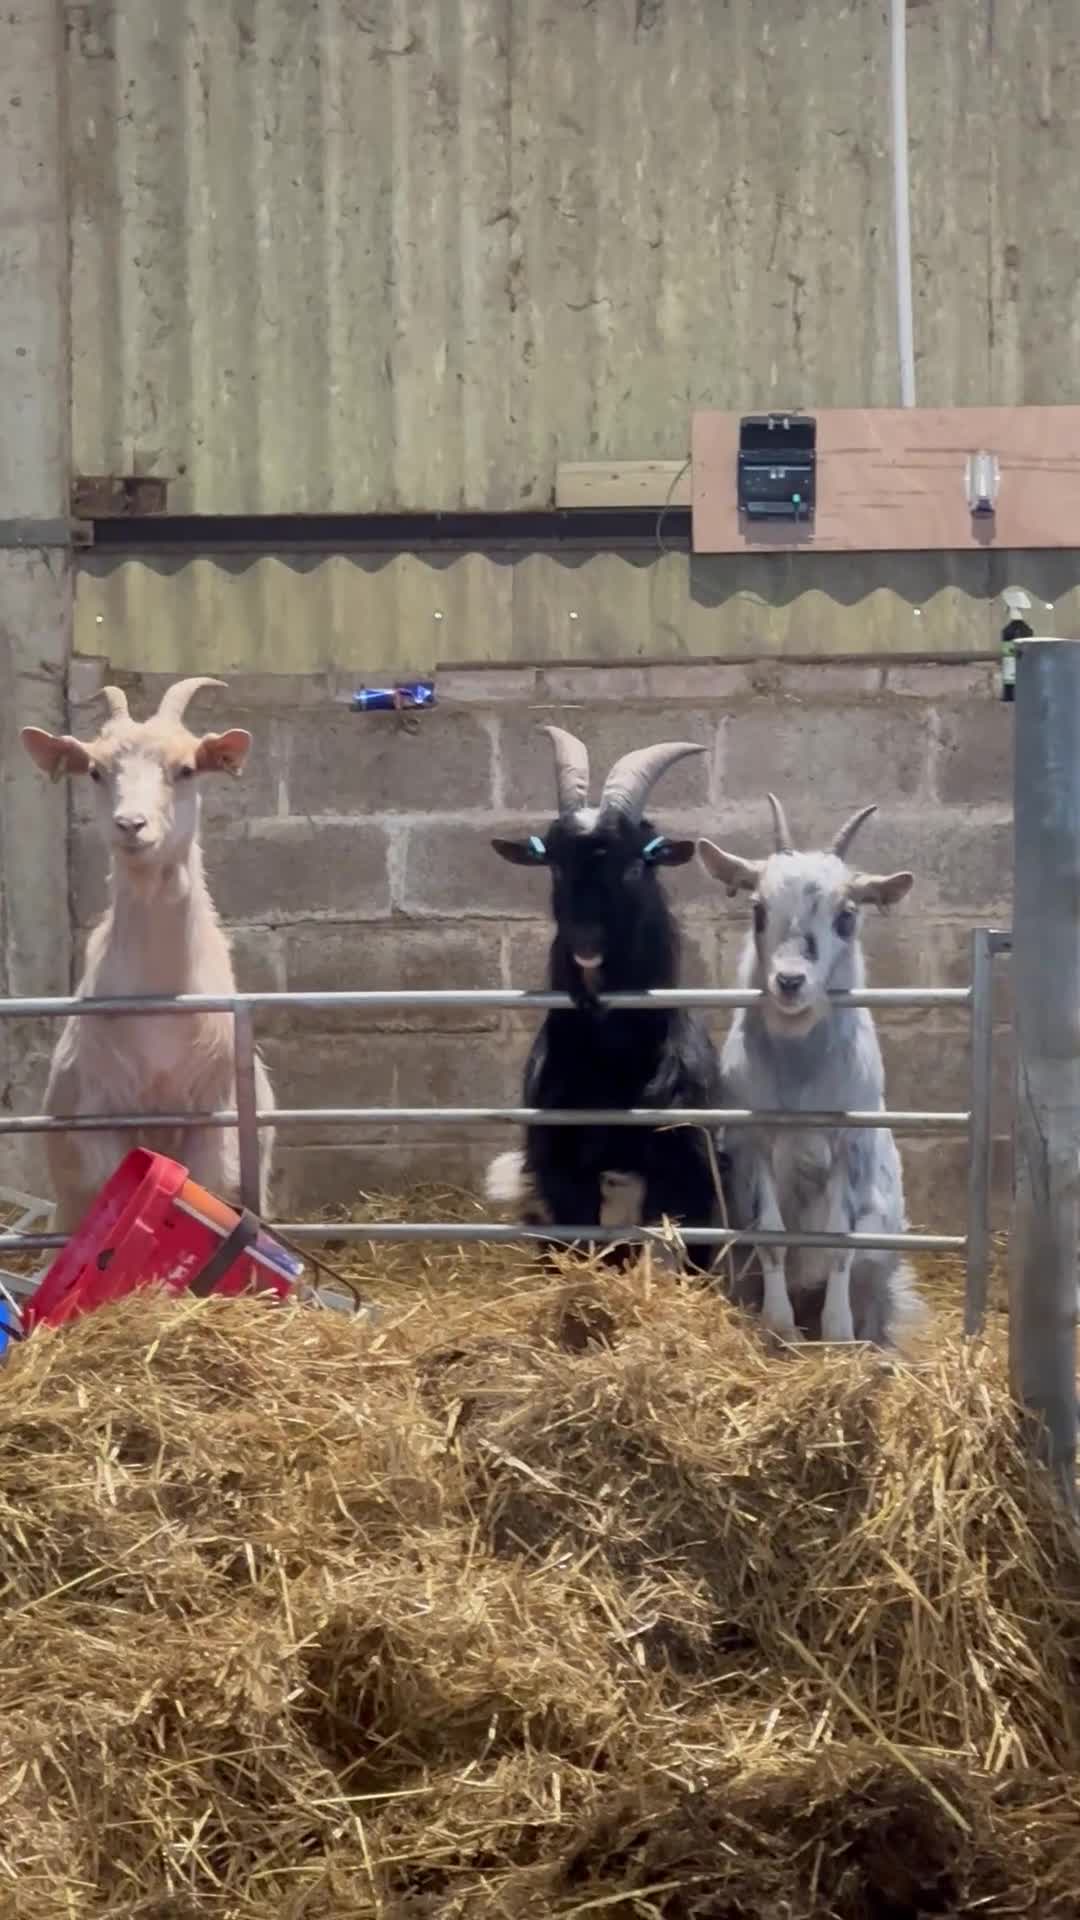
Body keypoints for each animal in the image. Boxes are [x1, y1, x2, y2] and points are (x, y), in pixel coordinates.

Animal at [21, 678, 275, 1231]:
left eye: (186, 769)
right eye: (95, 771)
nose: (130, 824)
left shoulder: (215, 1121)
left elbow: (220, 1183)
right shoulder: (97, 1121)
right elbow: (103, 1184)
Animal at [484, 726, 729, 1270]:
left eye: (636, 862)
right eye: (552, 863)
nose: (586, 943)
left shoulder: (679, 1169)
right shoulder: (560, 1165)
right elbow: (581, 1238)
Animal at [698, 795, 923, 1346]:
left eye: (847, 916)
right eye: (758, 910)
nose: (790, 981)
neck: (800, 1074)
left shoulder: (850, 1140)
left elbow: (839, 1239)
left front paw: (837, 1333)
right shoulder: (753, 1137)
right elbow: (773, 1236)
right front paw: (780, 1328)